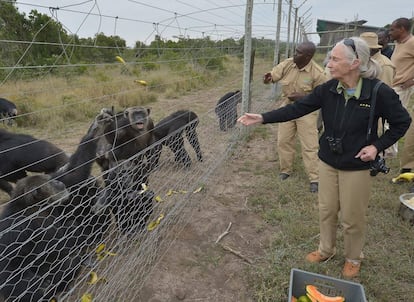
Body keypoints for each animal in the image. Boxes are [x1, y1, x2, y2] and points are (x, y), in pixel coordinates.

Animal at [0, 111, 112, 302]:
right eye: (50, 182)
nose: (58, 182)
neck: (38, 206)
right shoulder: (12, 229)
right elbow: (7, 268)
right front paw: (40, 288)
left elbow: (75, 172)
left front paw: (96, 128)